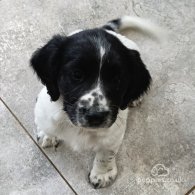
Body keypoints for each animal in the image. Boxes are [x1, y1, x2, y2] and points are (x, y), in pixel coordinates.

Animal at [30, 16, 161, 188]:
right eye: (77, 74)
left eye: (117, 79)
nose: (96, 116)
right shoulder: (45, 111)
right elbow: (46, 124)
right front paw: (47, 134)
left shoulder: (113, 133)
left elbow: (106, 154)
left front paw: (102, 174)